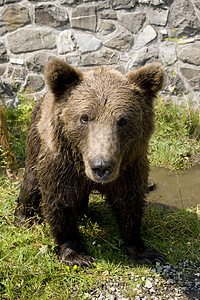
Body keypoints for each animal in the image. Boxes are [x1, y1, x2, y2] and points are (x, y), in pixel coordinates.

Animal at [13, 57, 164, 266]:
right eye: (84, 118)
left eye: (123, 120)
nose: (101, 166)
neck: (82, 163)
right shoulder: (61, 166)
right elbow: (59, 202)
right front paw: (76, 254)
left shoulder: (129, 166)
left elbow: (129, 202)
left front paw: (144, 251)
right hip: (36, 138)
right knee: (31, 182)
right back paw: (23, 217)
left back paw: (85, 212)